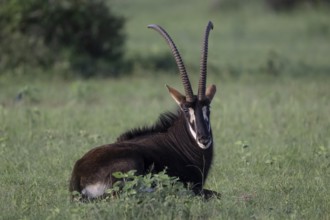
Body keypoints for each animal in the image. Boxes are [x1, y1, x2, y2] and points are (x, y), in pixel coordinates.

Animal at [69, 21, 219, 200]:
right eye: (185, 109)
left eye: (208, 106)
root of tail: (78, 175)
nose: (204, 139)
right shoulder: (194, 186)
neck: (179, 141)